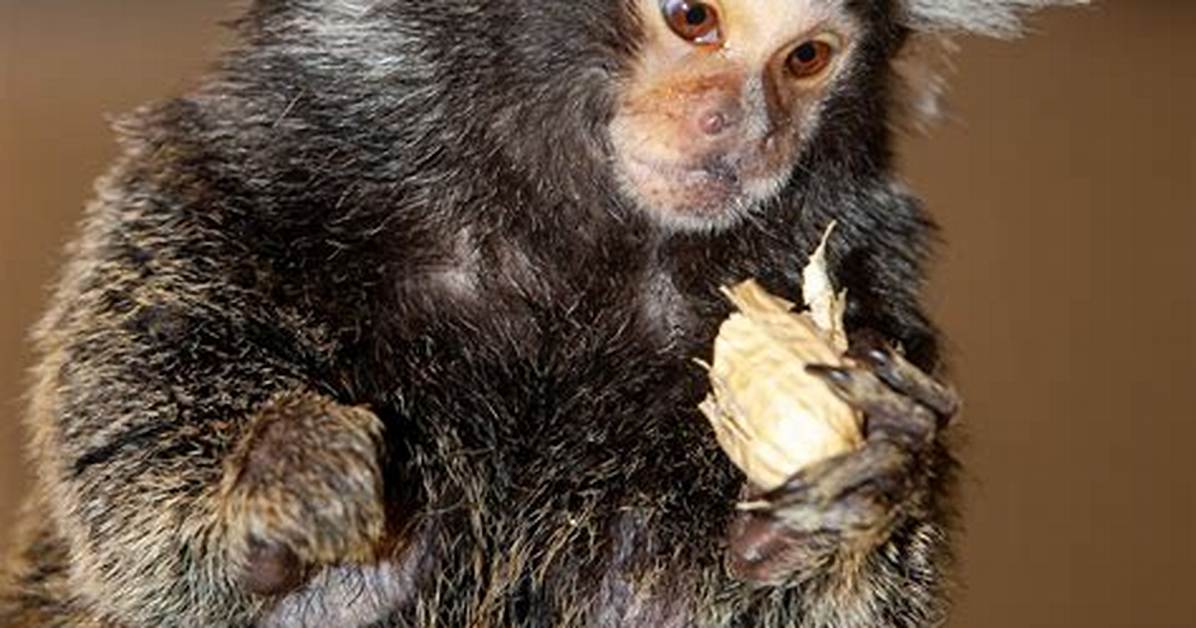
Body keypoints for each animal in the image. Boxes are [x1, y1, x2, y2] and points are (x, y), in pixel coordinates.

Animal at [0, 0, 1082, 626]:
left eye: (808, 58)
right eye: (691, 17)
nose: (748, 130)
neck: (565, 251)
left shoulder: (874, 290)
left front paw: (861, 491)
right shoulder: (216, 187)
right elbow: (139, 519)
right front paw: (270, 484)